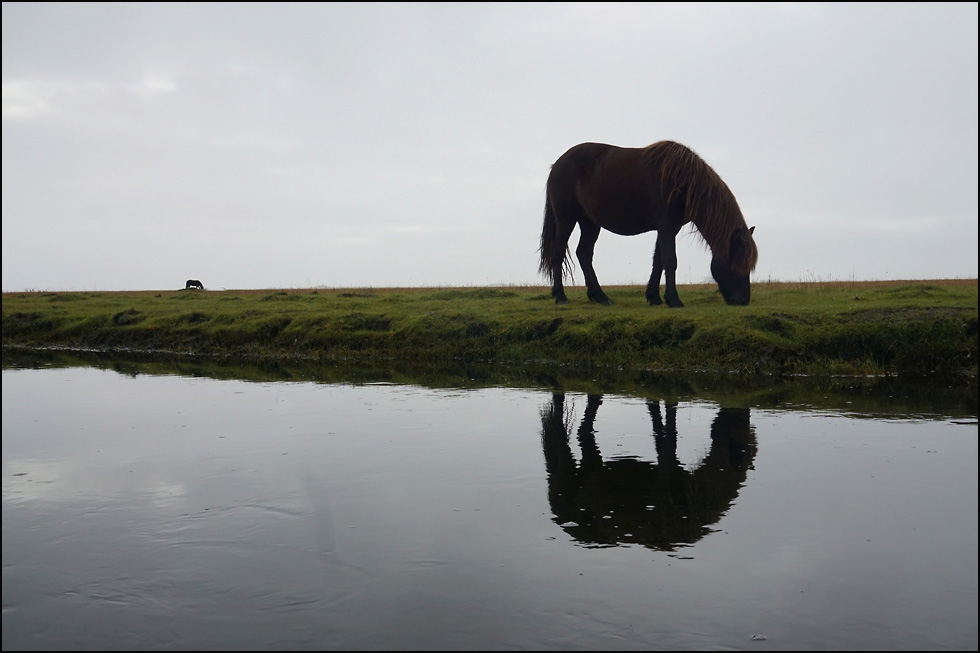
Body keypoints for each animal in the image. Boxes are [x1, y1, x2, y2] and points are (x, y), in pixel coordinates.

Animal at [536, 139, 756, 306]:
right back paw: (561, 296)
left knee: (584, 253)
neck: (683, 182)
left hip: (590, 223)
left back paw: (599, 296)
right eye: (737, 263)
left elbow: (658, 261)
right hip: (566, 219)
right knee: (558, 253)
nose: (743, 300)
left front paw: (654, 297)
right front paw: (674, 300)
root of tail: (557, 164)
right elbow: (670, 260)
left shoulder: (670, 228)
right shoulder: (666, 226)